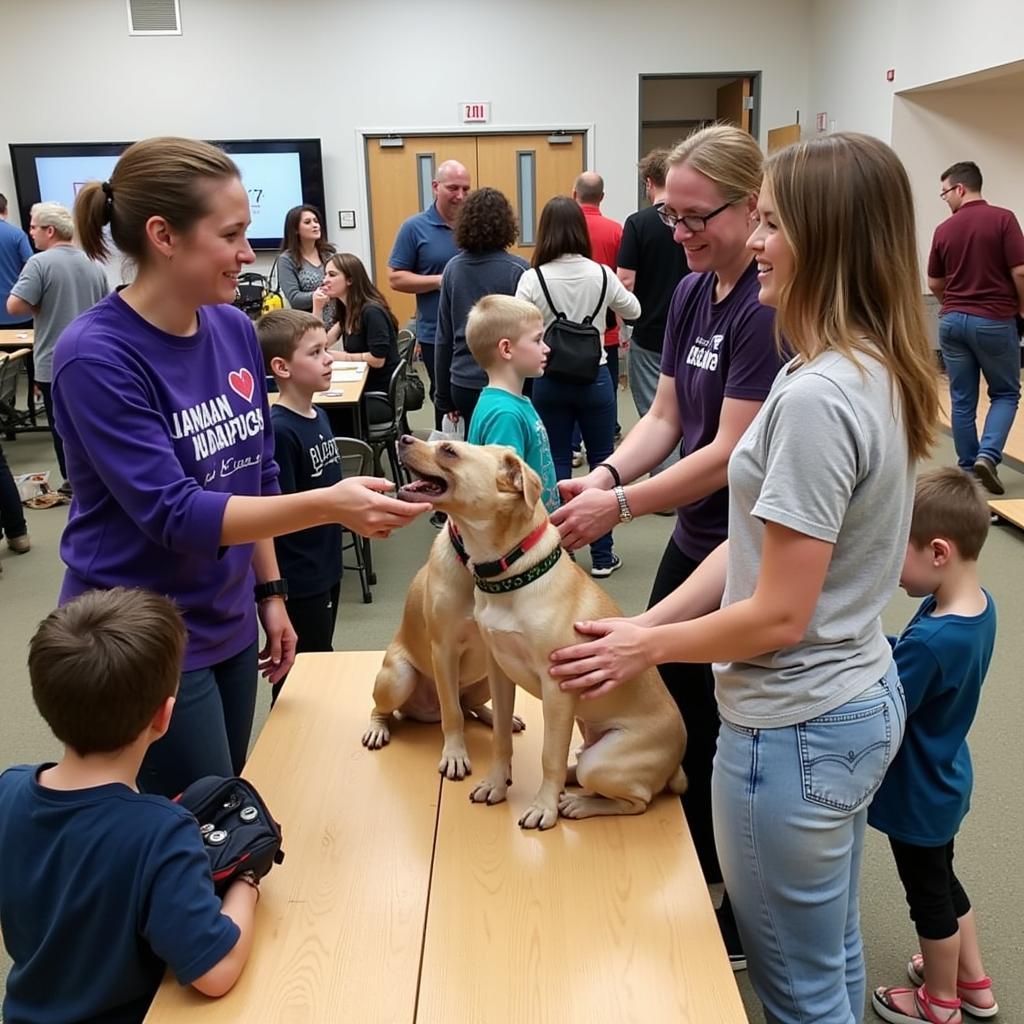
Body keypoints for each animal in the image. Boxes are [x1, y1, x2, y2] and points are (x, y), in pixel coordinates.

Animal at [393, 436, 688, 827]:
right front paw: (496, 783)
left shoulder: (557, 690)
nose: (403, 438)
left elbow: (550, 754)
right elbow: (501, 737)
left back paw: (577, 803)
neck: (509, 575)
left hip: (604, 761)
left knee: (637, 799)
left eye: (449, 451)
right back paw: (570, 783)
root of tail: (676, 767)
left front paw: (543, 807)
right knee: (579, 765)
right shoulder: (500, 674)